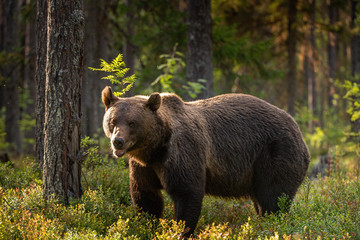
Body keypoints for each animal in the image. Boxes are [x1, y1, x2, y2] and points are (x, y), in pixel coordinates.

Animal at [100, 86, 310, 236]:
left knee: (273, 199)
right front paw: (147, 226)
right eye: (113, 121)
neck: (155, 149)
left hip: (275, 153)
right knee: (261, 200)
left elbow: (187, 193)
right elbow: (146, 196)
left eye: (132, 122)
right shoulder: (144, 166)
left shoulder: (183, 153)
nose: (118, 141)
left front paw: (181, 231)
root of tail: (300, 133)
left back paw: (271, 225)